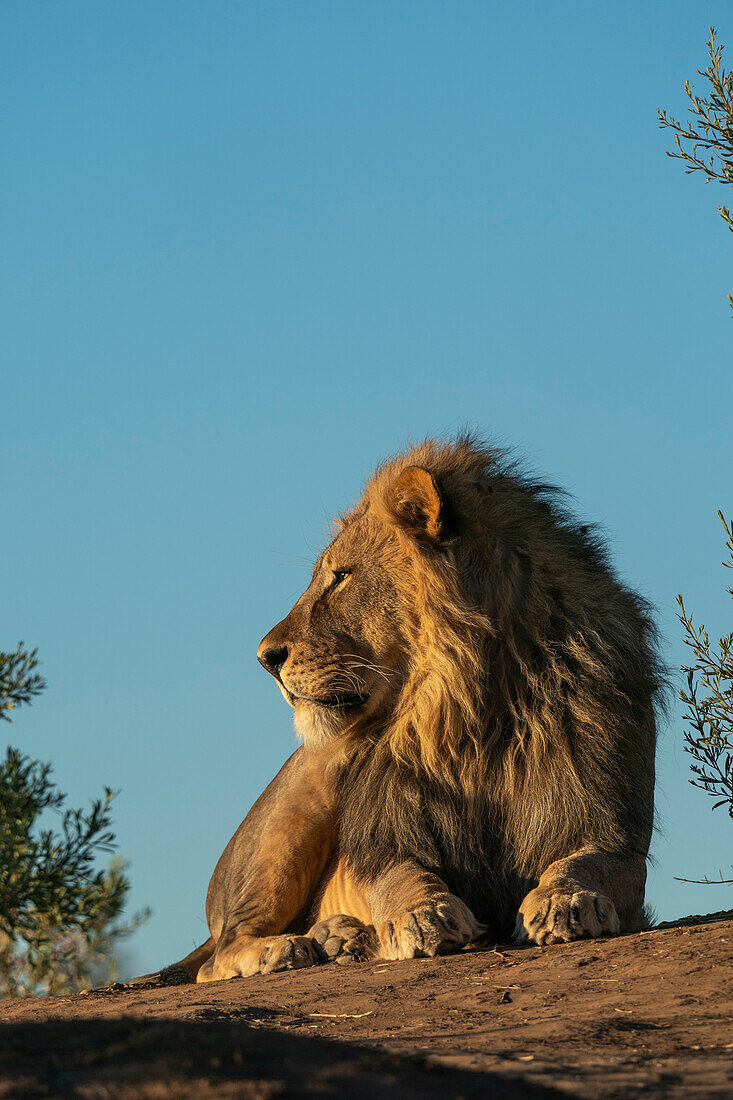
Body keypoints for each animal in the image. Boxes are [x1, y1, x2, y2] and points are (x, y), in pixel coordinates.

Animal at [161, 433, 660, 985]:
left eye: (341, 577)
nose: (264, 658)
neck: (472, 708)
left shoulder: (611, 825)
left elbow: (587, 862)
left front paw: (564, 901)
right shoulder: (387, 837)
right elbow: (401, 880)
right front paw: (423, 916)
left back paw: (338, 938)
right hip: (302, 798)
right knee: (219, 954)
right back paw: (286, 948)